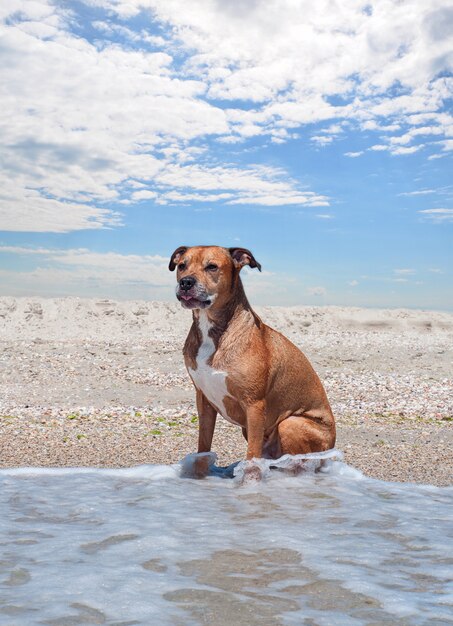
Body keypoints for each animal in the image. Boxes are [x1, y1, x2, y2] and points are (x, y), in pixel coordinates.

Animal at [170, 245, 336, 478]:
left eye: (212, 267)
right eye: (182, 265)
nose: (186, 282)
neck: (213, 329)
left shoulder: (254, 405)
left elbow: (252, 459)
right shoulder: (203, 401)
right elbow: (203, 449)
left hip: (290, 424)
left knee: (299, 465)